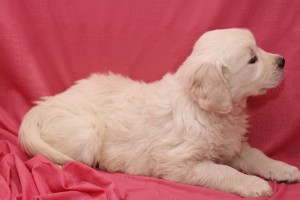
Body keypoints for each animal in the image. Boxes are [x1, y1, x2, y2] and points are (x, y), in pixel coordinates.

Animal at [19, 28, 300, 198]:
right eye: (252, 59)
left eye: (258, 49)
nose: (282, 60)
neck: (208, 110)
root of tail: (41, 106)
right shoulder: (178, 163)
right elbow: (223, 171)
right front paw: (254, 184)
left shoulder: (232, 145)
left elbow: (258, 156)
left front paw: (285, 169)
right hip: (86, 134)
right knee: (57, 160)